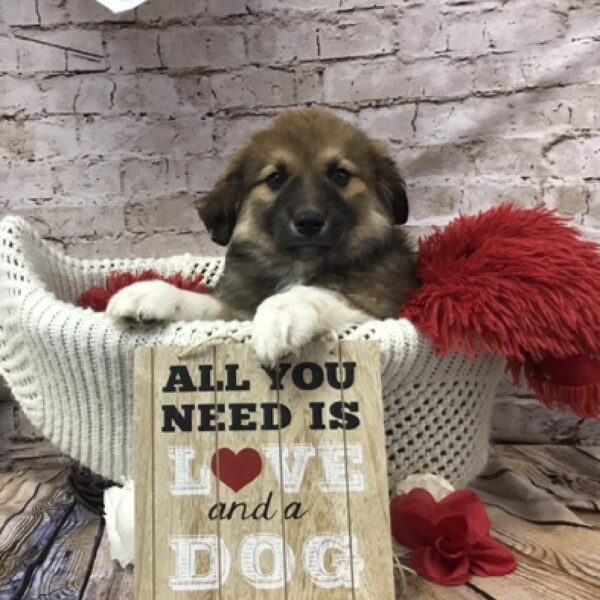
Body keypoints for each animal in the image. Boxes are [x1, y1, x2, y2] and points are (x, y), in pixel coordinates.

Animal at [108, 107, 418, 364]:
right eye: (275, 178)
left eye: (340, 175)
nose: (308, 221)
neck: (298, 263)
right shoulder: (236, 307)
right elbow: (203, 303)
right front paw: (151, 293)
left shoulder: (377, 305)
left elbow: (315, 292)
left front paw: (280, 316)